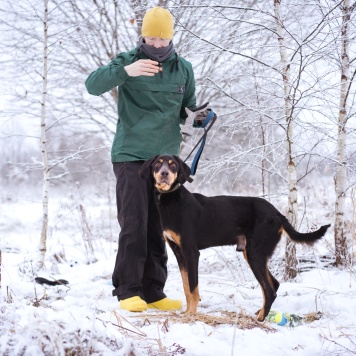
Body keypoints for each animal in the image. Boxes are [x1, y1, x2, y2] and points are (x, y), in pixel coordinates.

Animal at [140, 154, 330, 322]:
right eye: (158, 164)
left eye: (173, 165)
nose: (164, 173)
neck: (171, 199)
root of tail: (277, 214)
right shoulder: (179, 253)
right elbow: (187, 287)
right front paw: (187, 312)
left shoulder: (191, 252)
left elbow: (193, 289)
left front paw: (191, 315)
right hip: (252, 253)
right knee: (274, 284)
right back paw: (261, 312)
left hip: (255, 253)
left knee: (270, 290)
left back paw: (260, 319)